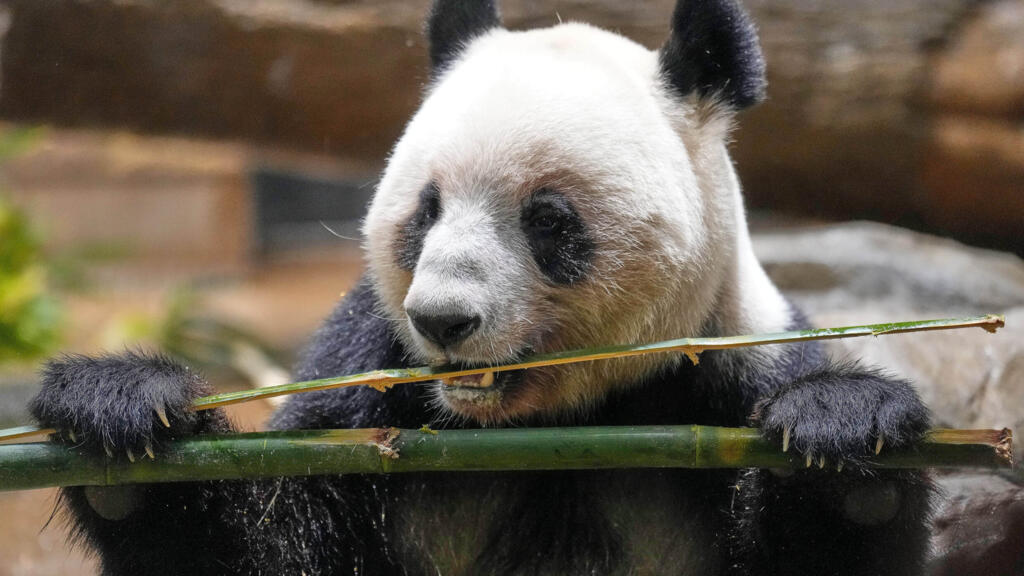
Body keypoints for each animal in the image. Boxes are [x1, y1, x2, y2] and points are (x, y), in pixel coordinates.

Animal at [29, 0, 933, 574]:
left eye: (548, 219)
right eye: (424, 211)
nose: (442, 320)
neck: (548, 426)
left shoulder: (728, 370)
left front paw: (842, 434)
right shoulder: (366, 387)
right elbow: (266, 548)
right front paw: (120, 413)